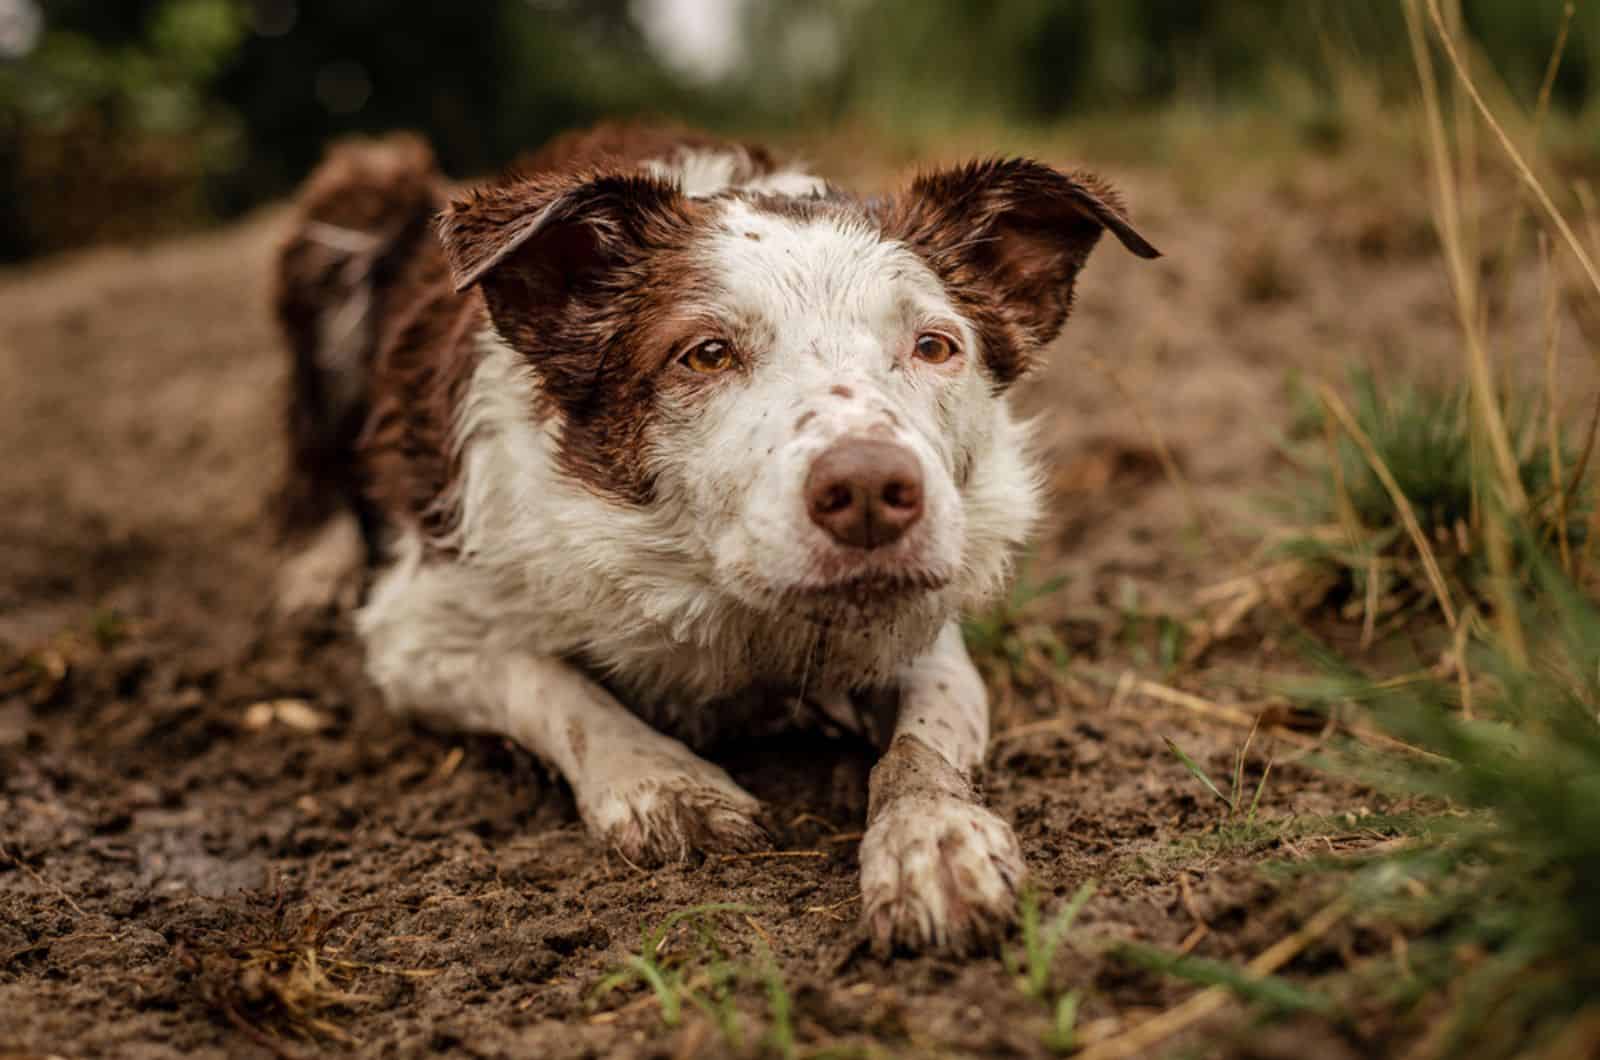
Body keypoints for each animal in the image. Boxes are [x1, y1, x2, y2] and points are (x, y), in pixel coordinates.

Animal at [272, 122, 1152, 954]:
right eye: (705, 354)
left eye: (935, 346)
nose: (871, 490)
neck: (728, 597)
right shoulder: (413, 629)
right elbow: (551, 684)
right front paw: (667, 786)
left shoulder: (927, 603)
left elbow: (923, 738)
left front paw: (932, 840)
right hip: (354, 202)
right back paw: (313, 567)